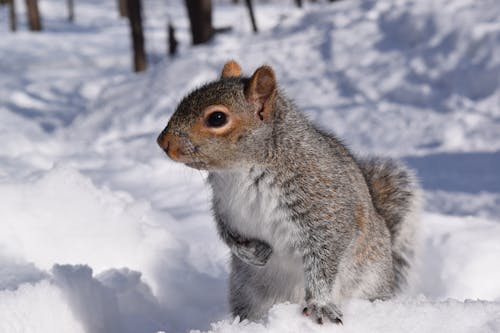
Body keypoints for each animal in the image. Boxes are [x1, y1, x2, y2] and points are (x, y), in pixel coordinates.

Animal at [157, 61, 422, 322]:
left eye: (217, 118)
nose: (162, 142)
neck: (239, 172)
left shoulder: (325, 206)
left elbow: (324, 258)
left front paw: (320, 304)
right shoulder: (224, 207)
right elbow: (227, 234)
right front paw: (253, 253)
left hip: (369, 279)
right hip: (246, 294)